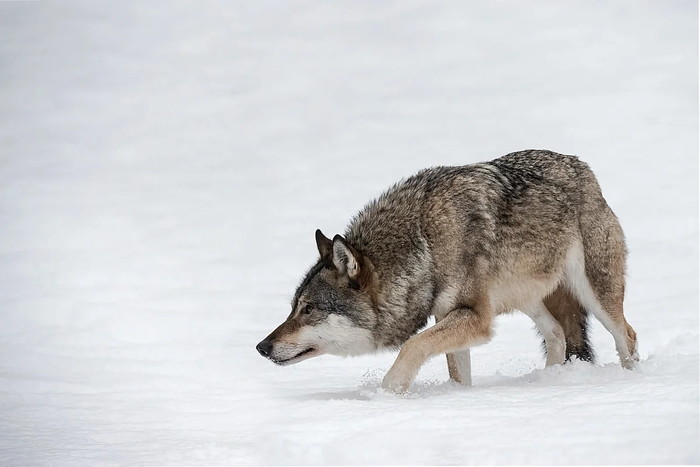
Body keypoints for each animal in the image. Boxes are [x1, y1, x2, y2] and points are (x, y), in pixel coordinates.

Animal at [258, 149, 640, 392]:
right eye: (294, 308)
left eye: (309, 309)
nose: (262, 347)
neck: (424, 242)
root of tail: (581, 166)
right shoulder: (450, 315)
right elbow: (455, 371)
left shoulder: (473, 317)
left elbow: (412, 346)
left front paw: (388, 394)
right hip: (526, 298)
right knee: (558, 333)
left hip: (595, 294)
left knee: (628, 335)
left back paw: (631, 381)